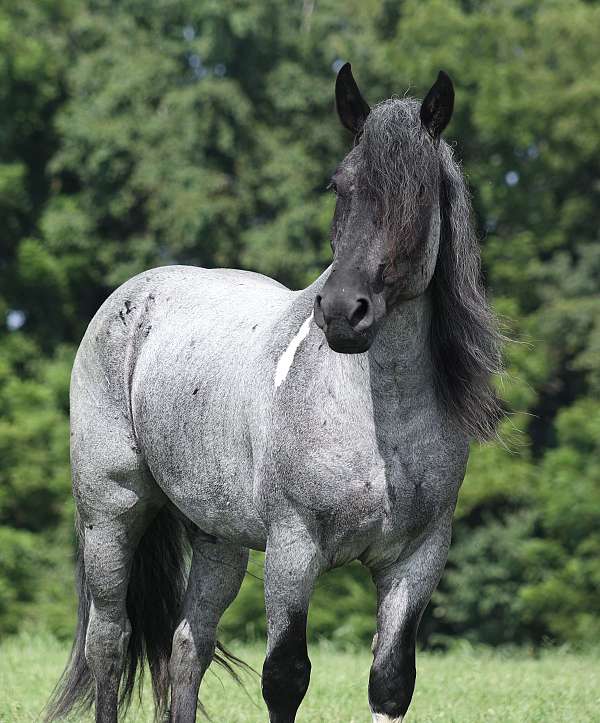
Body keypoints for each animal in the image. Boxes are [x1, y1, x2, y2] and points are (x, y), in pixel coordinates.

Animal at [46, 63, 502, 723]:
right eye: (338, 184)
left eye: (420, 192)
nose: (342, 313)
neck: (376, 421)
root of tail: (133, 294)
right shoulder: (293, 549)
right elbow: (286, 677)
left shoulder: (416, 560)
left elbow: (390, 682)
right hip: (111, 514)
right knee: (108, 642)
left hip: (218, 539)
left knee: (187, 646)